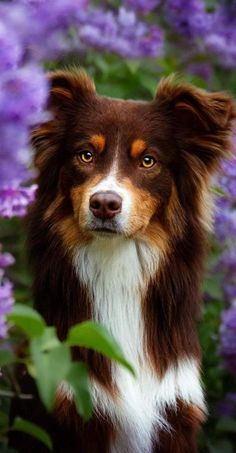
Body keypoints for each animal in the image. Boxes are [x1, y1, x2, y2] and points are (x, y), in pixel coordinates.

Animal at [8, 69, 234, 450]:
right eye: (85, 155)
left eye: (148, 160)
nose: (104, 204)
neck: (117, 262)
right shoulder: (69, 405)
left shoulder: (175, 410)